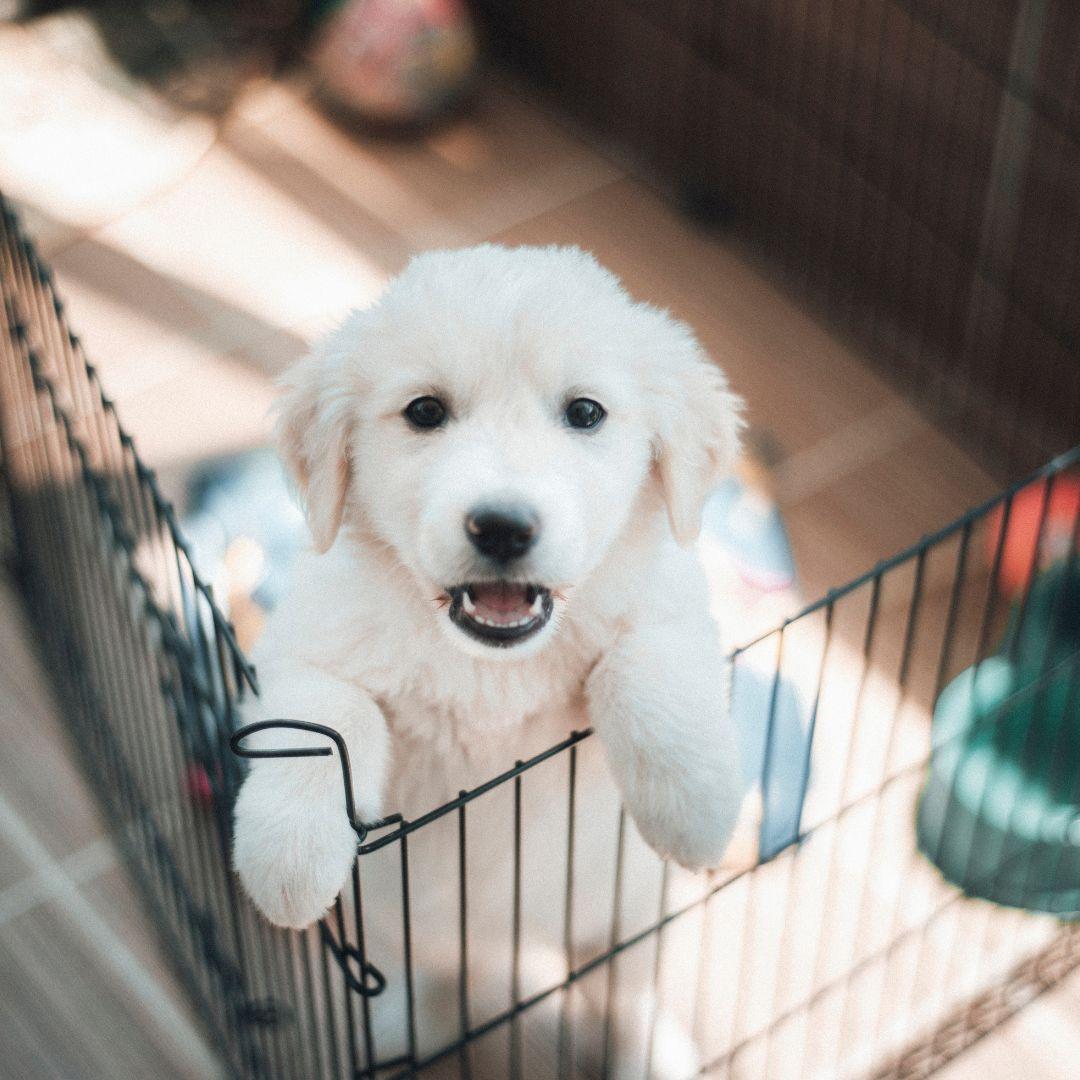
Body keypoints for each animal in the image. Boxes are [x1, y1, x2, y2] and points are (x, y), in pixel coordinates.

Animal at [233, 245, 747, 954]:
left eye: (586, 413)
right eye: (425, 411)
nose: (503, 527)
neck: (489, 668)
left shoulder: (671, 603)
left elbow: (643, 667)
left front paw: (697, 810)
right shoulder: (299, 644)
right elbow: (325, 719)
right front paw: (290, 861)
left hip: (624, 919)